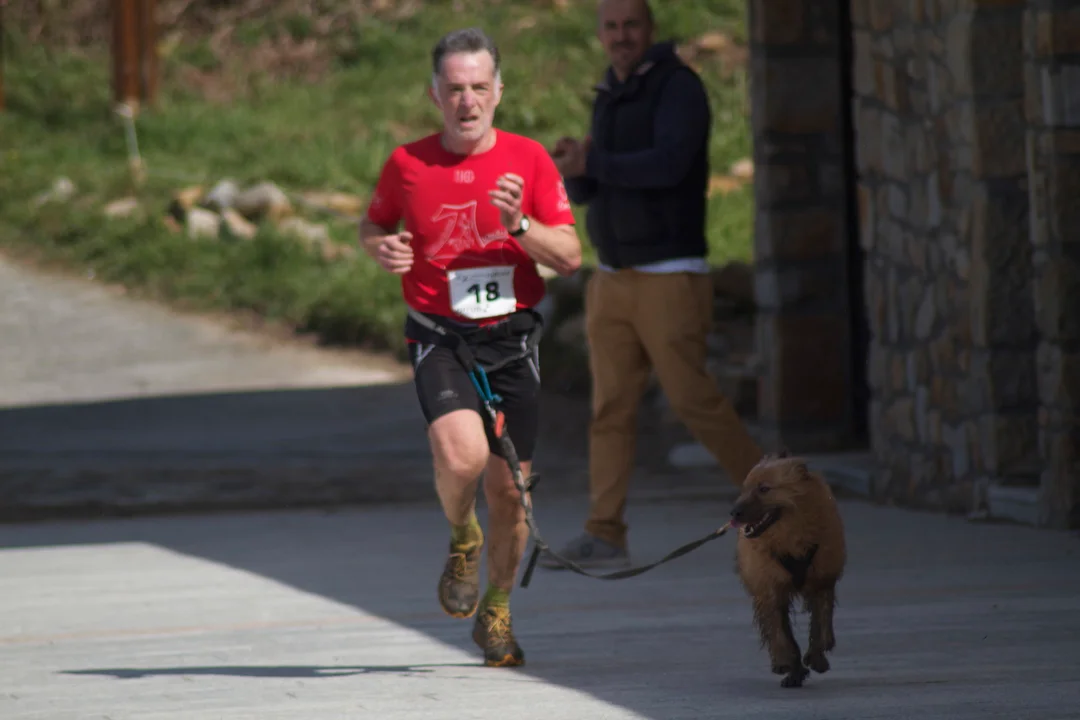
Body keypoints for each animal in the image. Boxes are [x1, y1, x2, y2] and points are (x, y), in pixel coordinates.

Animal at [728, 451, 847, 688]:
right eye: (744, 489)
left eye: (764, 488)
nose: (733, 513)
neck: (789, 536)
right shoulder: (769, 590)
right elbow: (781, 634)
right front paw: (788, 665)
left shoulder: (822, 581)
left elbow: (821, 622)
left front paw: (817, 656)